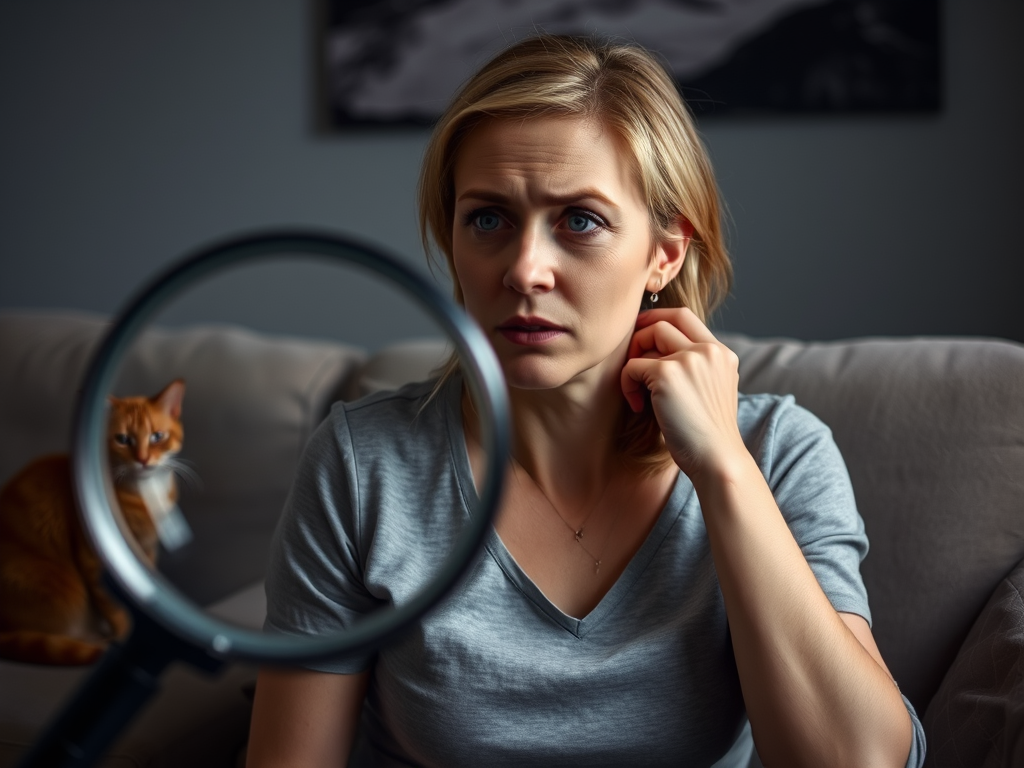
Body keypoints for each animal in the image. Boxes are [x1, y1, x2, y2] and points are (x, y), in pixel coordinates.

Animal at [0, 380, 186, 667]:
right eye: (123, 440)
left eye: (157, 436)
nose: (143, 460)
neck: (146, 495)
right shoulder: (97, 561)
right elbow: (117, 610)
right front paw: (124, 635)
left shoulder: (145, 554)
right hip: (60, 587)